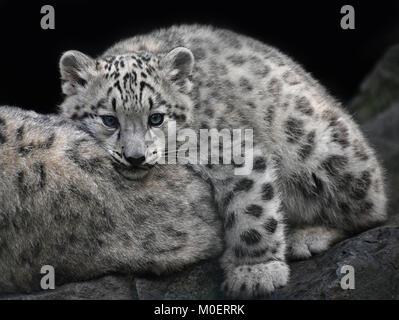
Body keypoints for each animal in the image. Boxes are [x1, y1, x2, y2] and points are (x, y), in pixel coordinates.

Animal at [59, 24, 388, 298]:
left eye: (156, 118)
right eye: (109, 120)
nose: (135, 156)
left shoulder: (233, 149)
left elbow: (253, 209)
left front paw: (256, 274)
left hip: (318, 148)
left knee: (371, 211)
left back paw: (307, 237)